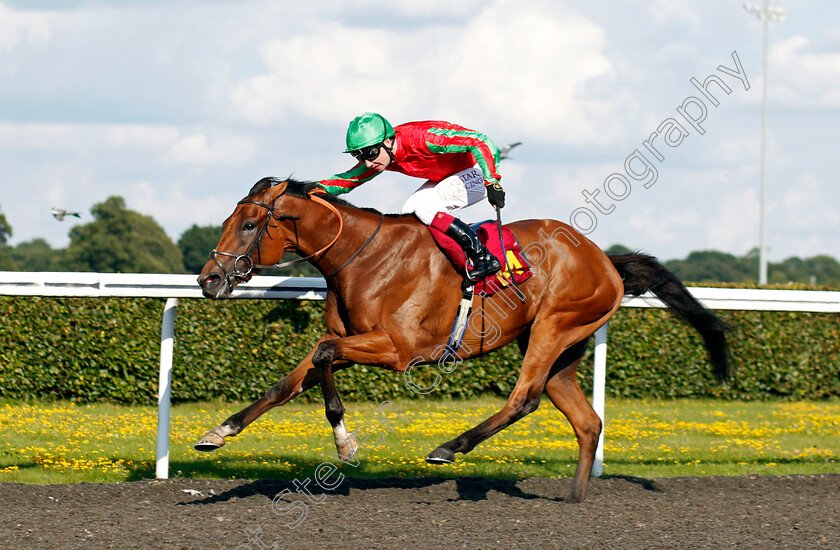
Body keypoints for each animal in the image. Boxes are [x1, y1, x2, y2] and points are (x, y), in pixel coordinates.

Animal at [195, 179, 728, 506]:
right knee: (586, 420)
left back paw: (450, 447)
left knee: (525, 398)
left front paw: (346, 444)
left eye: (248, 224)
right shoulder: (354, 338)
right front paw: (219, 432)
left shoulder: (397, 349)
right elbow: (287, 383)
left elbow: (324, 357)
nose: (208, 280)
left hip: (555, 326)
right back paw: (574, 498)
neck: (361, 256)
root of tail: (606, 260)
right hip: (561, 347)